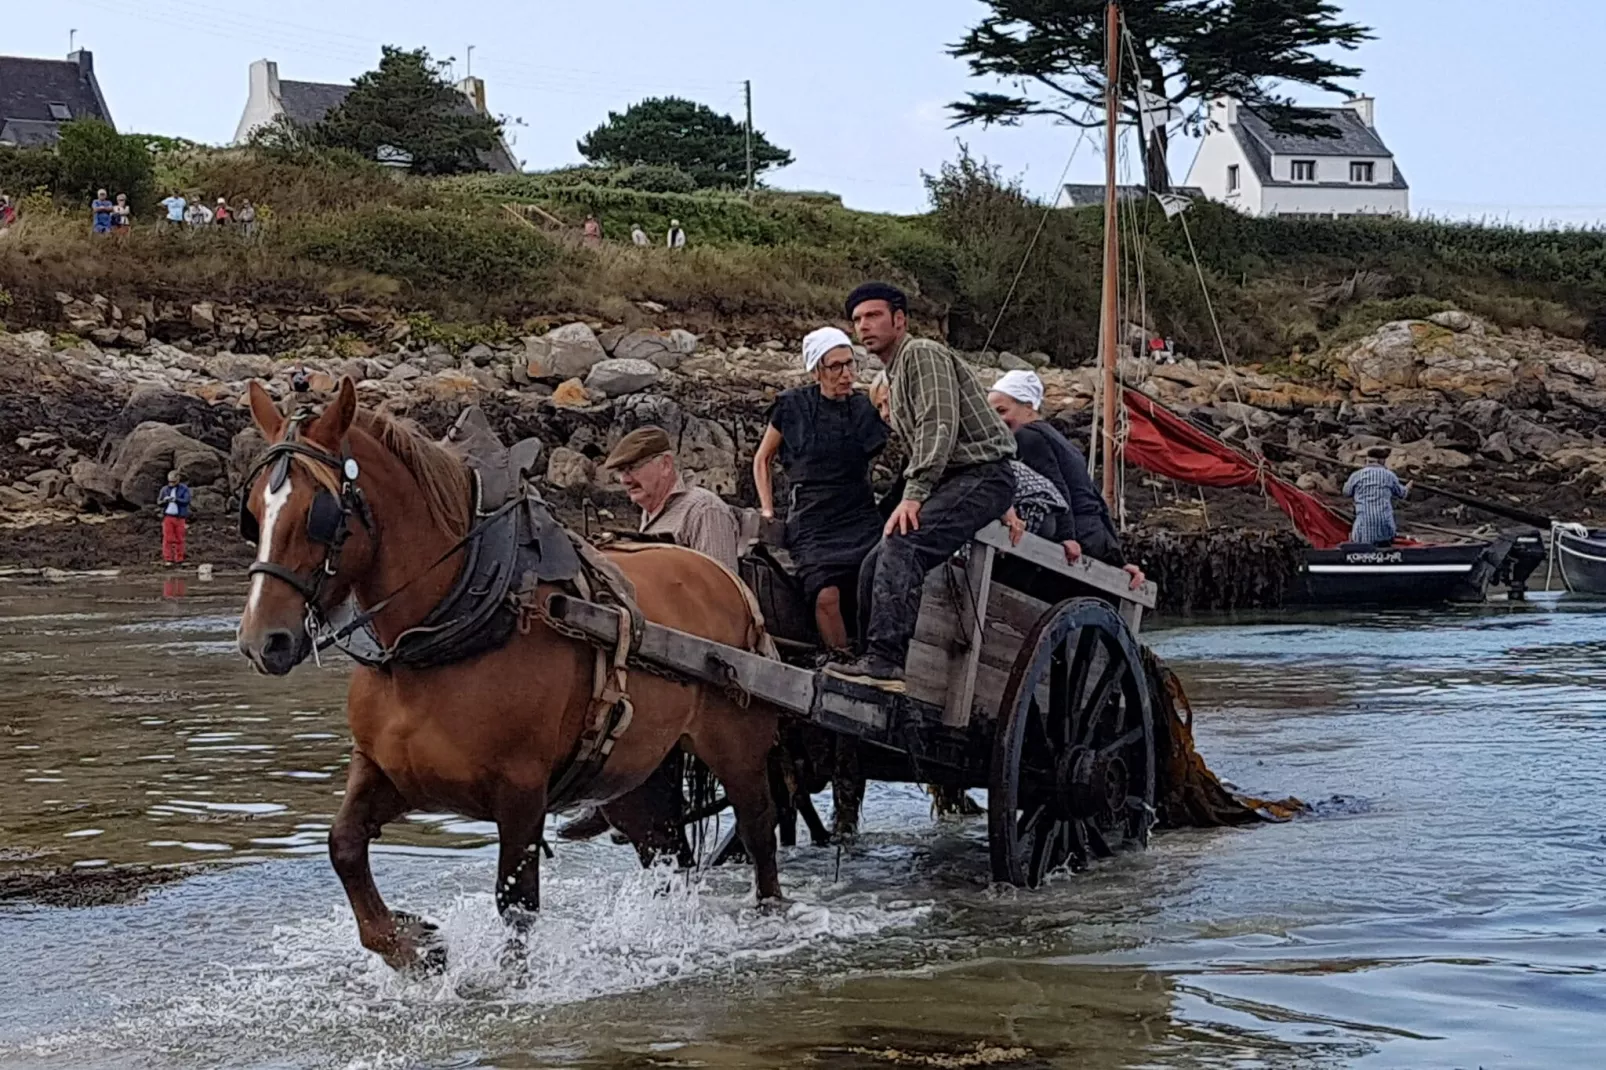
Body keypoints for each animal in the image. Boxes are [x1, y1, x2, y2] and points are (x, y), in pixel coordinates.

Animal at [236, 380, 783, 963]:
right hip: (633, 772)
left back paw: (769, 918)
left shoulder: (521, 791)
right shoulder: (385, 770)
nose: (261, 641)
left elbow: (516, 904)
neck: (444, 628)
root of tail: (721, 573)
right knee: (666, 853)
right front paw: (412, 945)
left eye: (318, 514)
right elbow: (343, 845)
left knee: (760, 831)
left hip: (736, 747)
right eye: (253, 513)